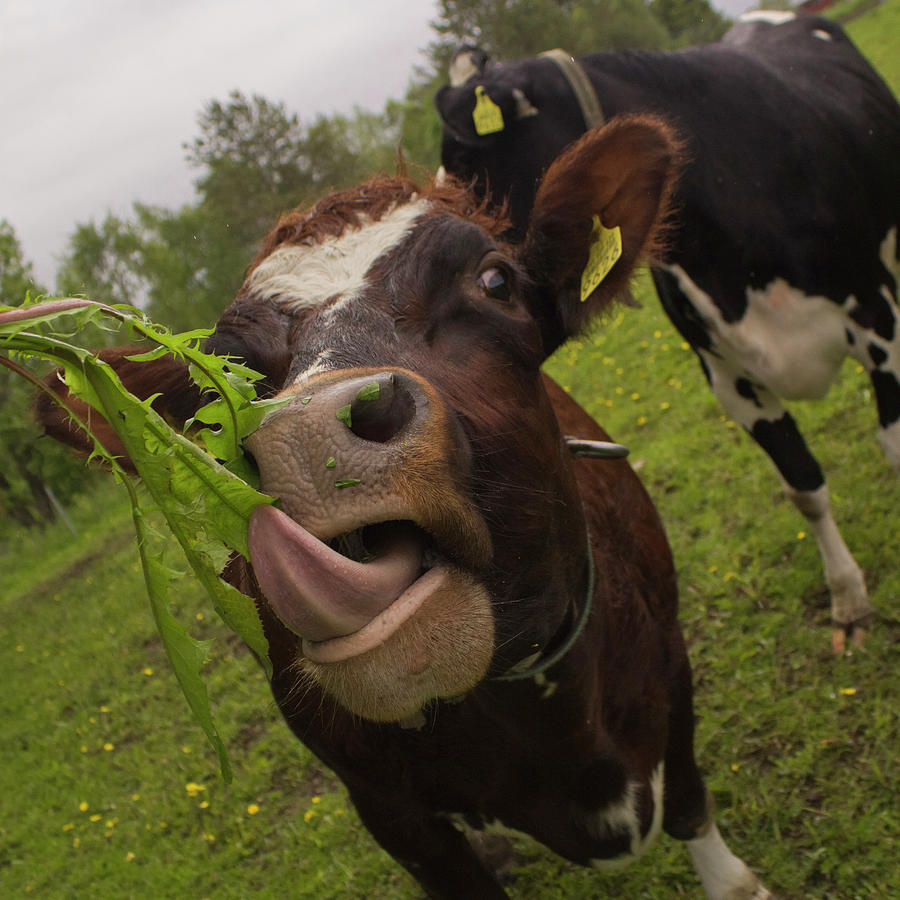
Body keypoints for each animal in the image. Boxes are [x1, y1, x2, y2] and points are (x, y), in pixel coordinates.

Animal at [38, 118, 768, 900]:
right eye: (216, 384)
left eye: (496, 280)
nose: (303, 438)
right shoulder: (387, 809)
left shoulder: (671, 663)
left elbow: (690, 800)